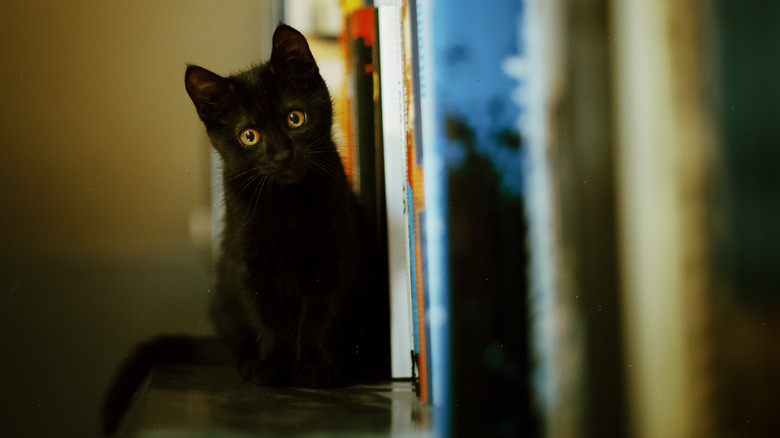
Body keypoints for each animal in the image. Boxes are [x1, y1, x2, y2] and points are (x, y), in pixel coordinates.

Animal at [100, 23, 386, 434]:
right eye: (249, 136)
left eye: (295, 118)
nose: (282, 154)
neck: (288, 203)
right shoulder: (247, 264)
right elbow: (268, 317)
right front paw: (274, 366)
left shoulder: (336, 258)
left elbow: (322, 314)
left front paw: (315, 366)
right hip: (222, 298)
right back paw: (250, 362)